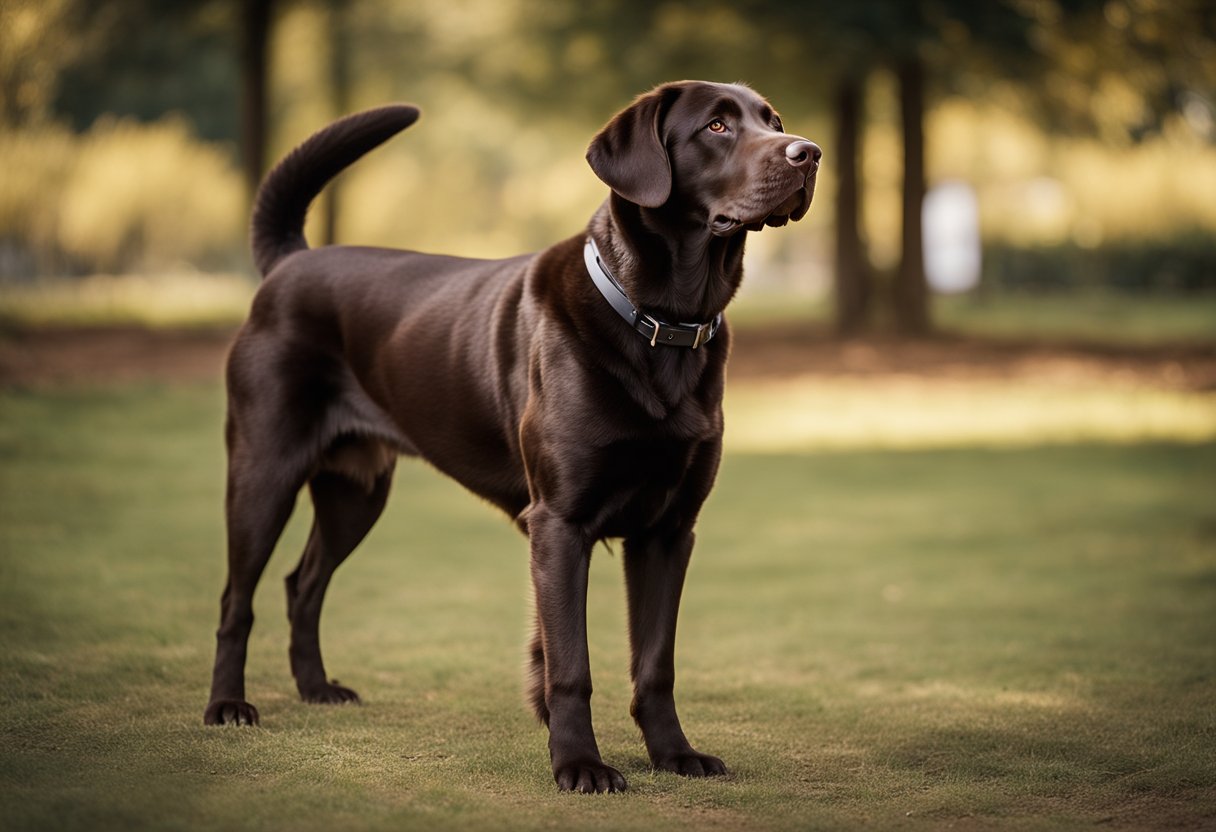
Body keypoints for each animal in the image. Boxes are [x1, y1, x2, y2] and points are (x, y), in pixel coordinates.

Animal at [204, 79, 822, 793]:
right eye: (717, 126)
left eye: (772, 121)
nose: (809, 153)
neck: (661, 322)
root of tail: (290, 264)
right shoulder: (559, 523)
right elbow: (571, 665)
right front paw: (579, 764)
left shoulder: (669, 531)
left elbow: (655, 663)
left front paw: (674, 754)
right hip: (263, 471)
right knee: (237, 597)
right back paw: (227, 706)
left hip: (356, 492)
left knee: (303, 583)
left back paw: (316, 689)